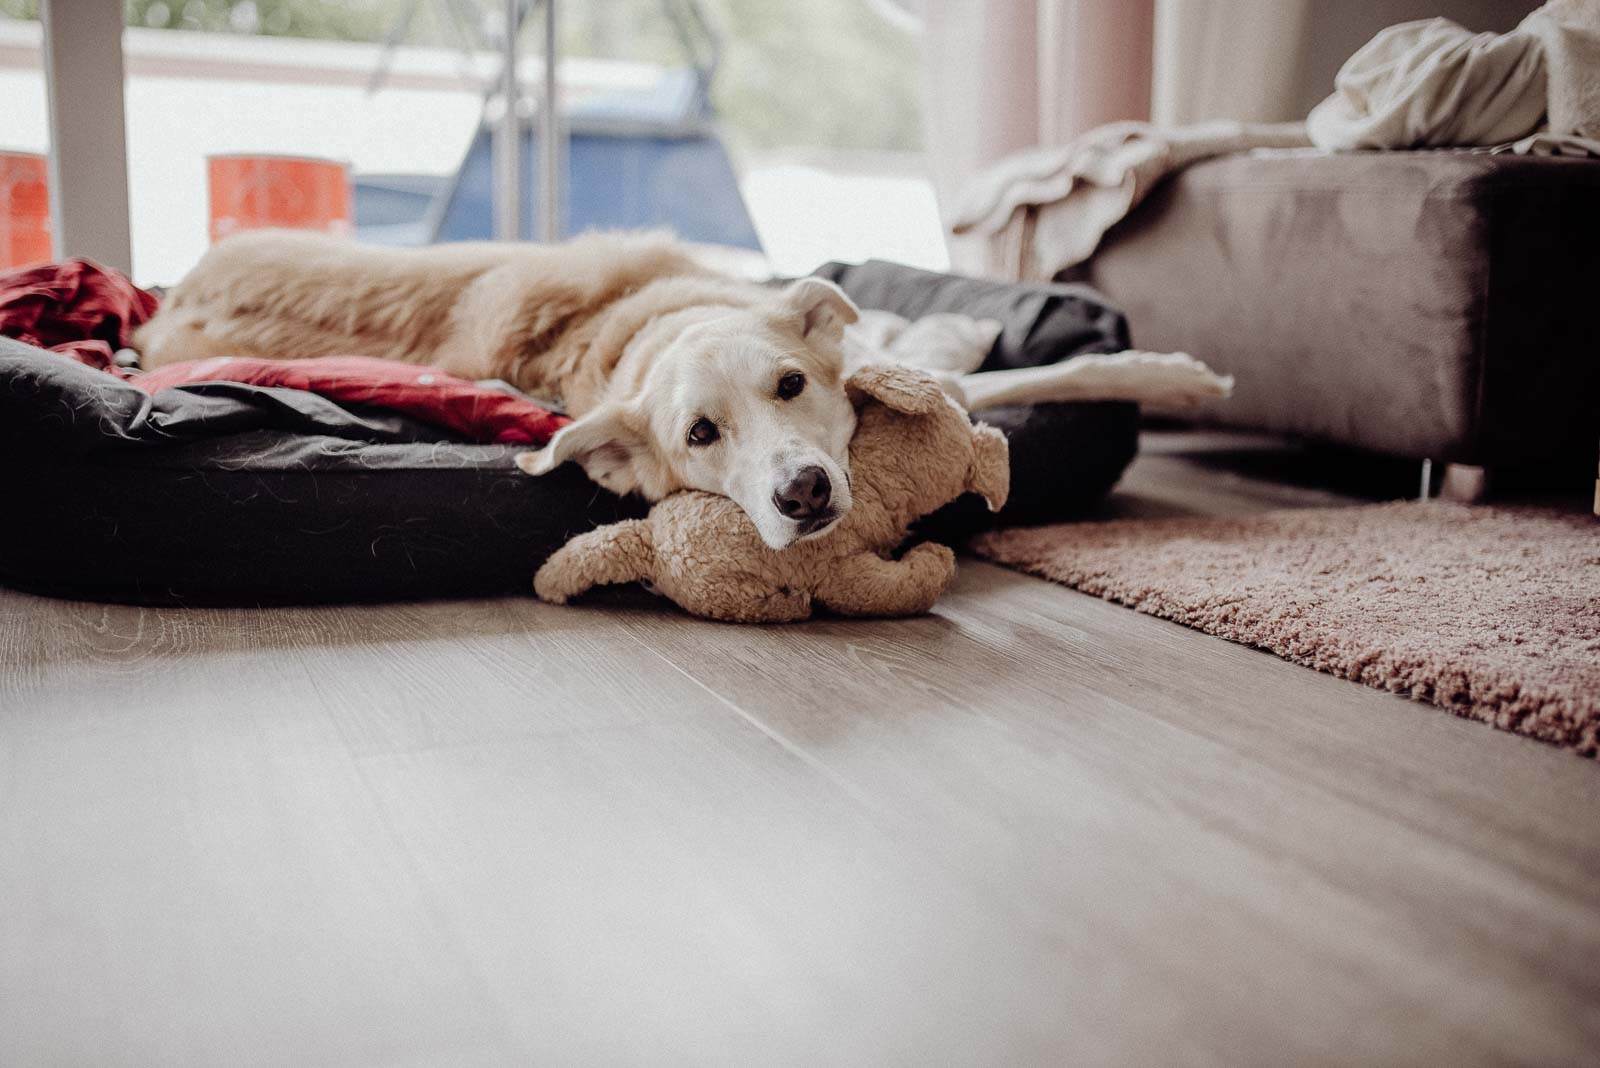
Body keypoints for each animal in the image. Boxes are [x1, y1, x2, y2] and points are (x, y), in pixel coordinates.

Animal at [140, 228, 1235, 546]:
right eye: (700, 437)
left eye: (790, 384)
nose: (803, 495)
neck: (648, 326)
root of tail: (164, 302)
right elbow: (984, 378)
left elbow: (978, 364)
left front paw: (1168, 375)